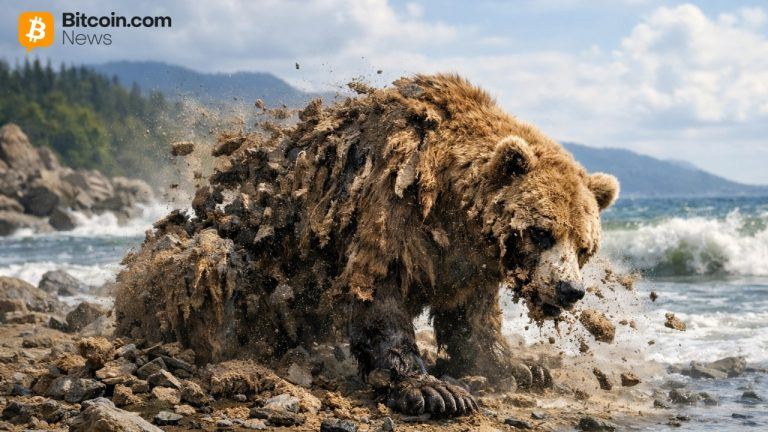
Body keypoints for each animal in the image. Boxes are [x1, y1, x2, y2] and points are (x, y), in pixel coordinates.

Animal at [114, 74, 619, 417]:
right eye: (541, 231)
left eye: (585, 246)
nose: (569, 290)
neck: (451, 208)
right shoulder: (392, 206)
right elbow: (379, 294)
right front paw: (434, 389)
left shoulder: (466, 263)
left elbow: (473, 317)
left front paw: (518, 367)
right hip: (213, 256)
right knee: (207, 269)